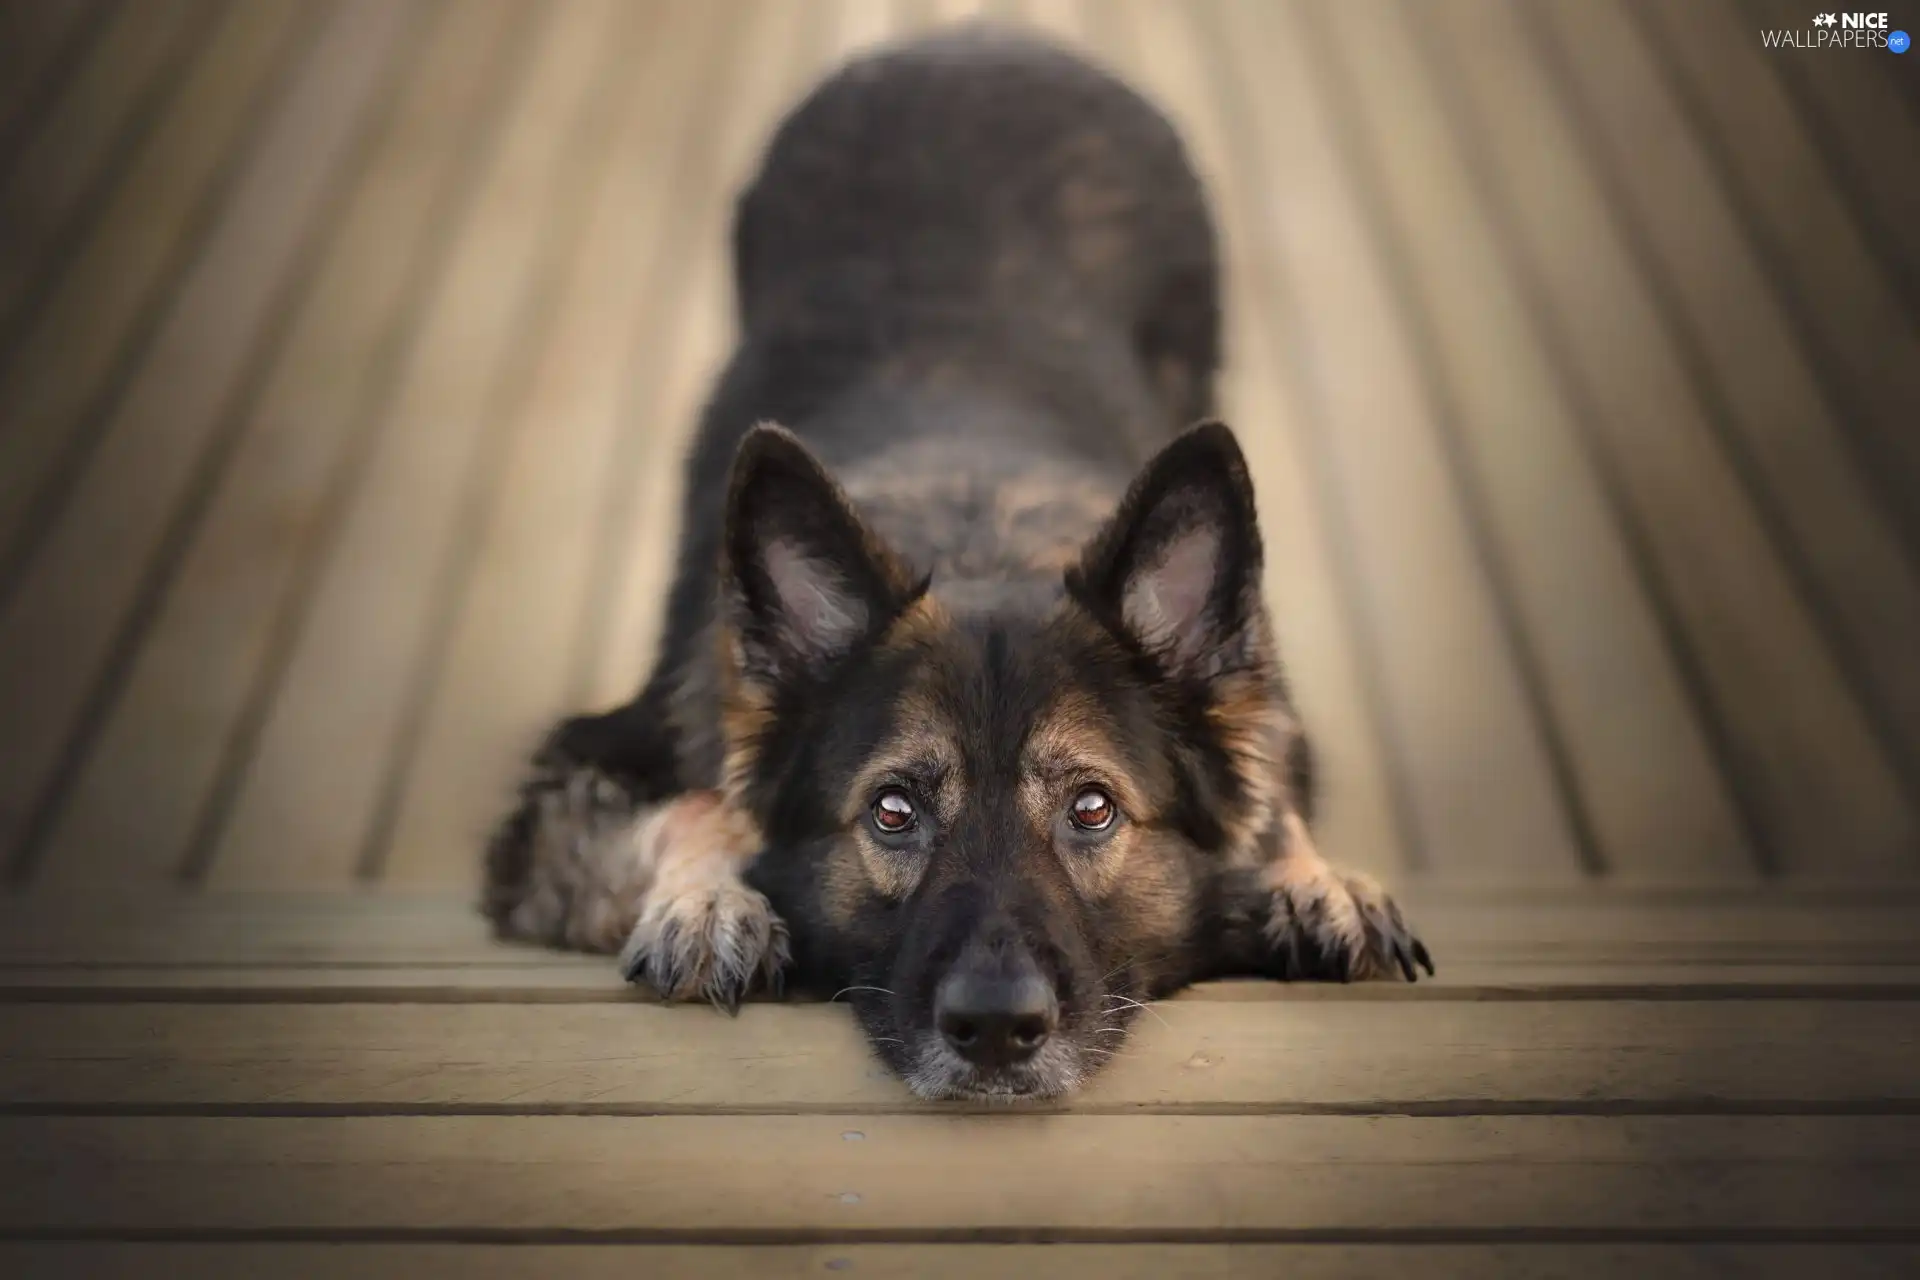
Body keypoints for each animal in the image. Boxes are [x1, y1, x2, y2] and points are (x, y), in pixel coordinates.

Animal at [487, 22, 1436, 1105]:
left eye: (1092, 807)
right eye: (893, 810)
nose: (995, 1028)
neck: (983, 536)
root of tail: (978, 36)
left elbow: (1272, 789)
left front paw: (1316, 880)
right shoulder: (570, 783)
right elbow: (693, 803)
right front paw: (711, 898)